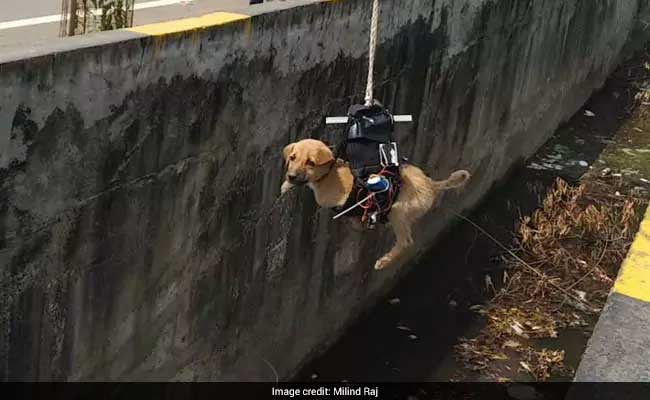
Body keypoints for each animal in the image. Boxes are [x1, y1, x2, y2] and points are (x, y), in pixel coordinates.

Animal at [280, 139, 468, 270]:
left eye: (311, 162)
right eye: (292, 158)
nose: (291, 176)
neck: (329, 173)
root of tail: (431, 184)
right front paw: (286, 185)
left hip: (397, 211)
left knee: (405, 241)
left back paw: (384, 261)